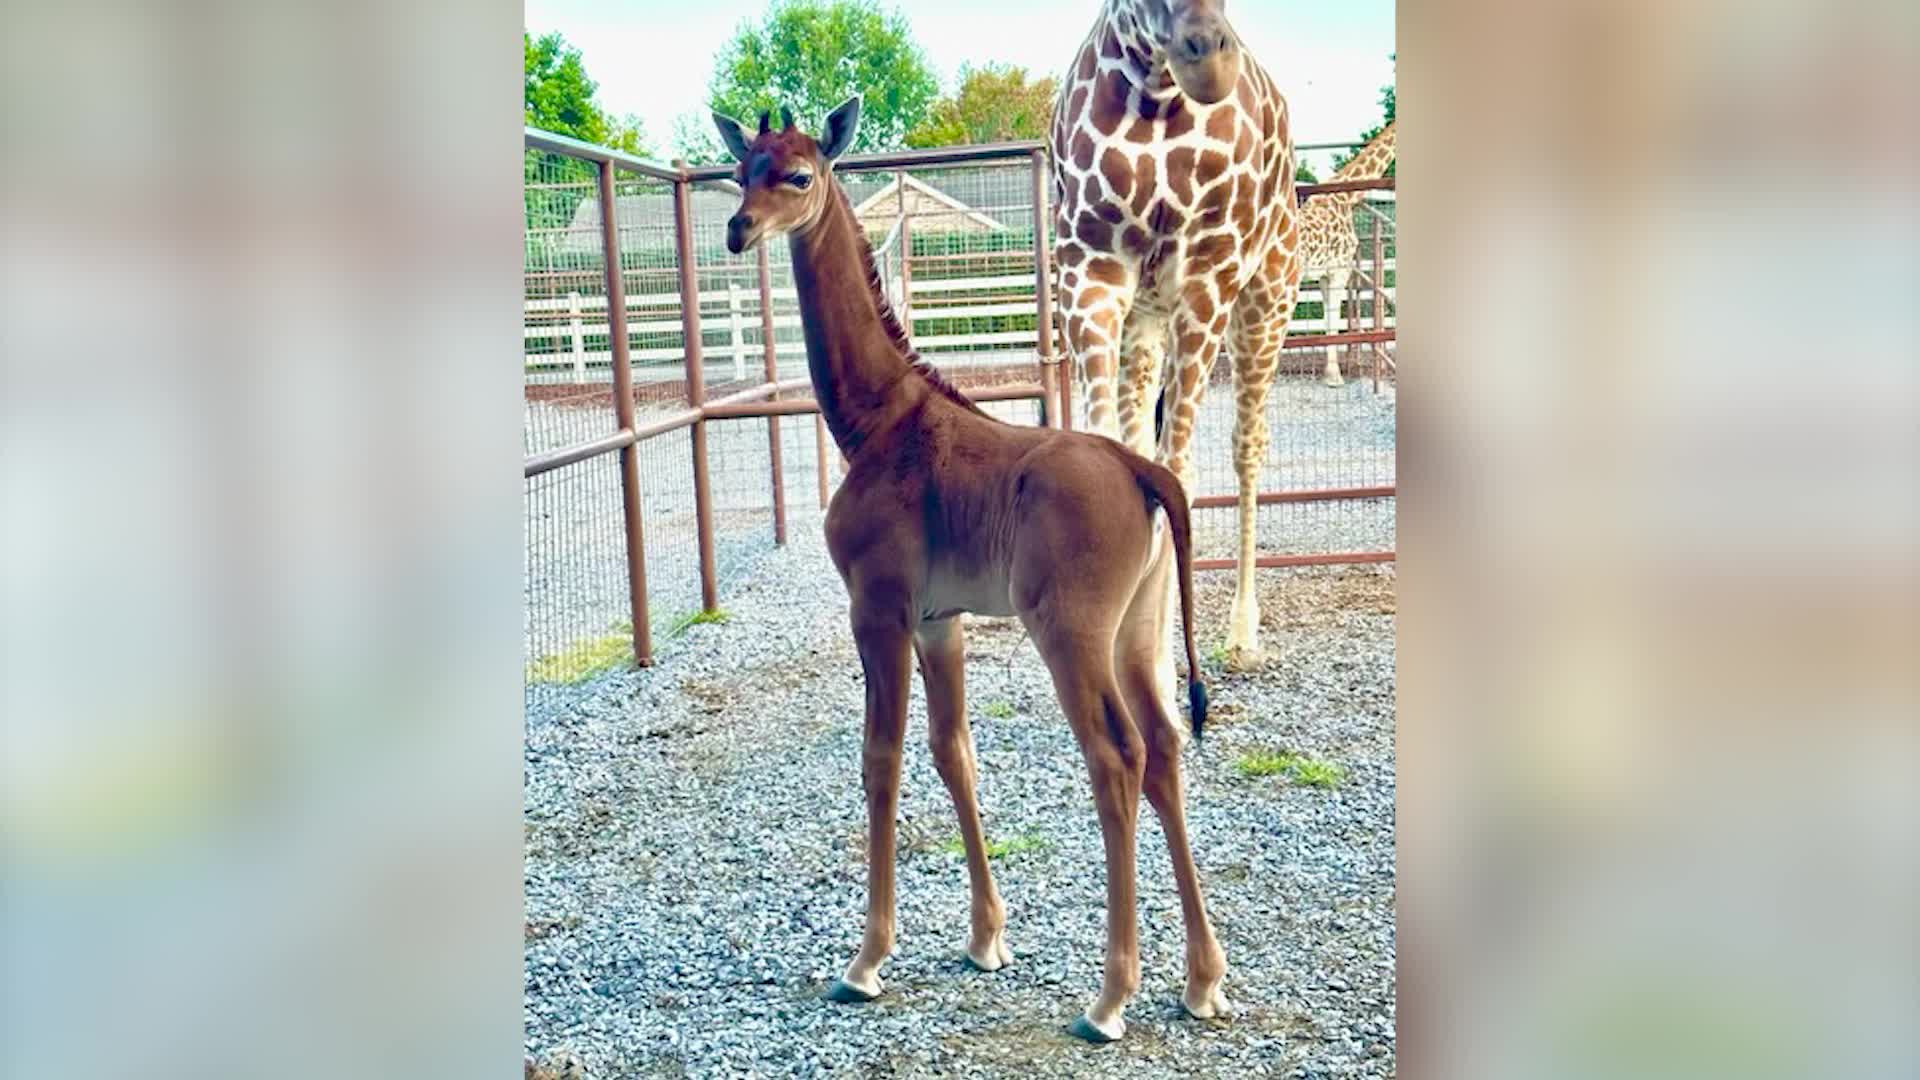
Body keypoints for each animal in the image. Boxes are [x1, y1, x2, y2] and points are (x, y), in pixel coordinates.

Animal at [712, 98, 1228, 1044]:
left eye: (798, 174)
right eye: (742, 170)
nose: (738, 229)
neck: (874, 421)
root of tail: (1145, 472)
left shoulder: (877, 609)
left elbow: (881, 758)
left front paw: (867, 961)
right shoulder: (937, 620)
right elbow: (954, 752)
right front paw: (987, 939)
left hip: (1071, 633)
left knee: (1117, 757)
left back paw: (1109, 1000)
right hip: (1138, 631)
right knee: (1168, 747)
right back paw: (1203, 981)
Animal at [1050, 0, 1301, 673]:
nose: (1208, 60)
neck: (1158, 97)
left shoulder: (1206, 277)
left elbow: (1178, 474)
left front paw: (1159, 670)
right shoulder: (1090, 273)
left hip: (1267, 299)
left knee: (1247, 444)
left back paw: (1242, 634)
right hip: (1146, 321)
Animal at [1299, 122, 1396, 387]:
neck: (1345, 196)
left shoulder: (1325, 275)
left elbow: (1328, 319)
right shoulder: (1339, 269)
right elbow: (1333, 320)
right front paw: (1334, 377)